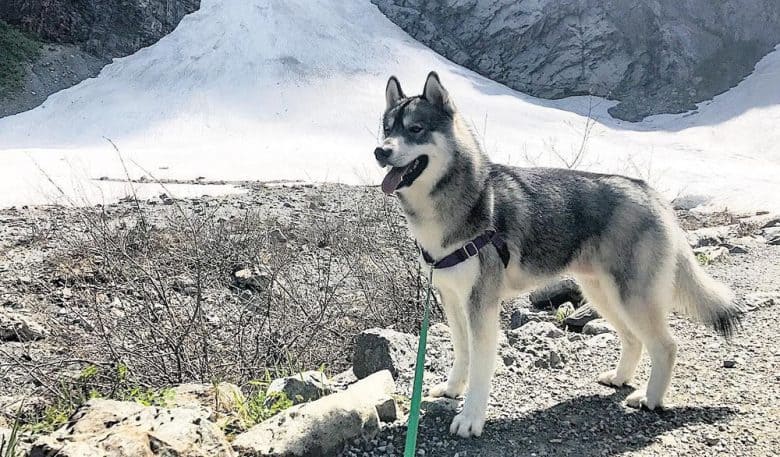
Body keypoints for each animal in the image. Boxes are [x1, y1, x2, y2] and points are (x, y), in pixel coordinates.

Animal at [374, 72, 740, 438]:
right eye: (387, 129)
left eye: (415, 129)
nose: (380, 151)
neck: (458, 203)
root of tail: (650, 192)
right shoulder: (451, 298)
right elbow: (462, 352)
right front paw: (452, 389)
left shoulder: (482, 305)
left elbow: (480, 368)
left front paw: (470, 418)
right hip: (603, 294)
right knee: (633, 339)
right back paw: (620, 378)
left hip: (632, 297)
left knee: (666, 346)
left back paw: (650, 399)